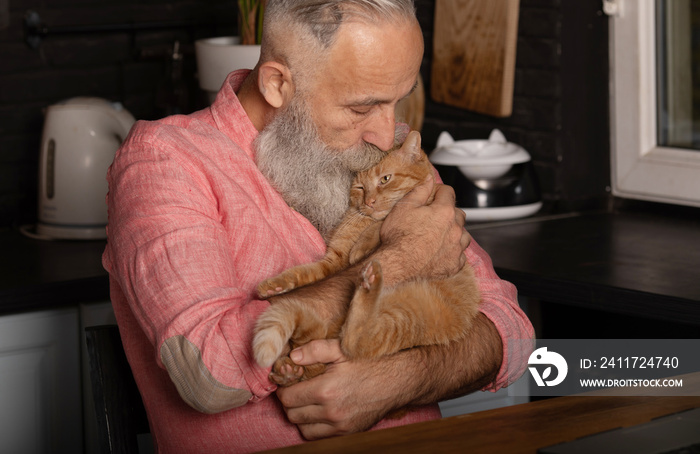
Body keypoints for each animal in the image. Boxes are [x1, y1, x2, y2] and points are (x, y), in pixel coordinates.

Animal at [253, 130, 482, 386]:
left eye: (385, 179)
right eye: (361, 188)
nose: (369, 202)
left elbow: (381, 224)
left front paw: (363, 245)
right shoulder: (333, 262)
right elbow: (302, 273)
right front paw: (274, 286)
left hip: (408, 315)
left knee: (358, 341)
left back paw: (370, 284)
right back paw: (289, 371)